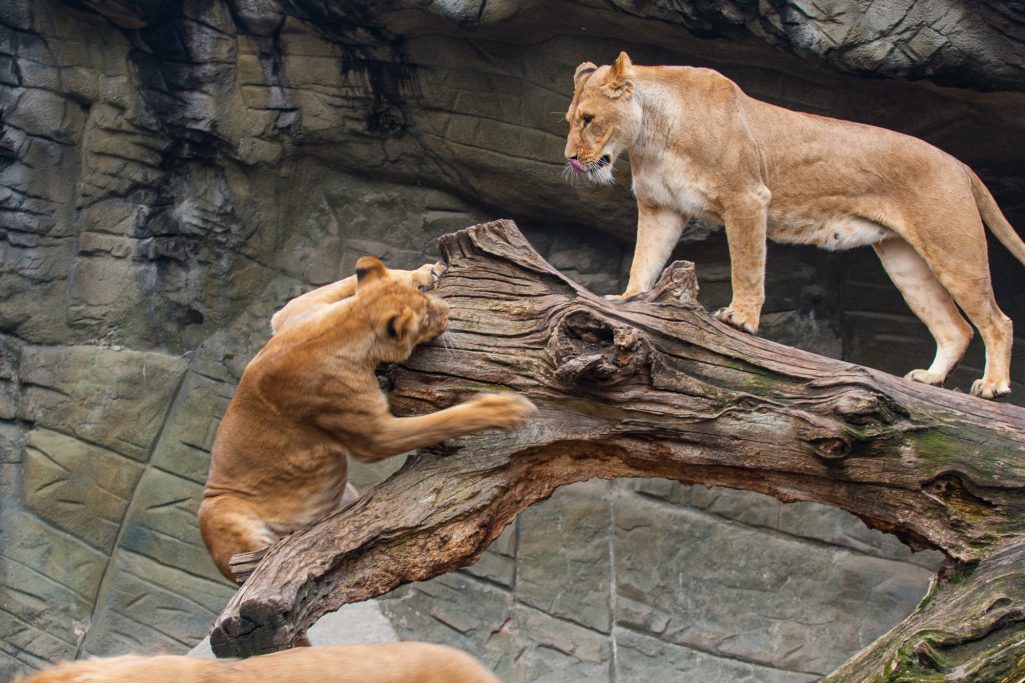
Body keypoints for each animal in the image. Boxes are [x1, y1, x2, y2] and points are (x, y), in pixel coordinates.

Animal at [197, 255, 537, 578]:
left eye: (424, 296)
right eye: (428, 314)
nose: (448, 310)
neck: (346, 325)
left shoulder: (291, 314)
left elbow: (351, 279)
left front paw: (424, 271)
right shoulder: (375, 437)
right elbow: (442, 420)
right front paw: (506, 408)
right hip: (216, 511)